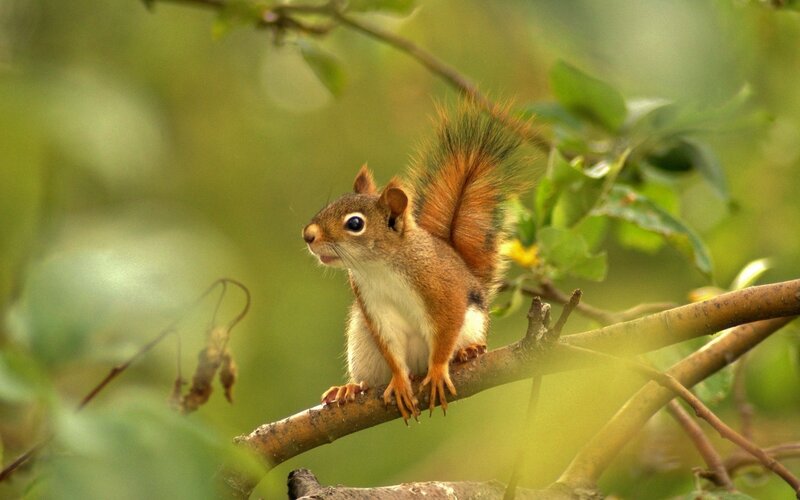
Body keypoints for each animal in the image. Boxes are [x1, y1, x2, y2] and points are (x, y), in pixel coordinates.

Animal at [302, 103, 525, 422]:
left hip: (471, 323)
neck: (379, 267)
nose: (308, 235)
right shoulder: (374, 307)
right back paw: (351, 388)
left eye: (355, 223)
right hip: (362, 342)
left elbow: (445, 330)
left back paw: (467, 352)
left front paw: (438, 370)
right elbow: (392, 349)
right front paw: (398, 381)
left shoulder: (443, 290)